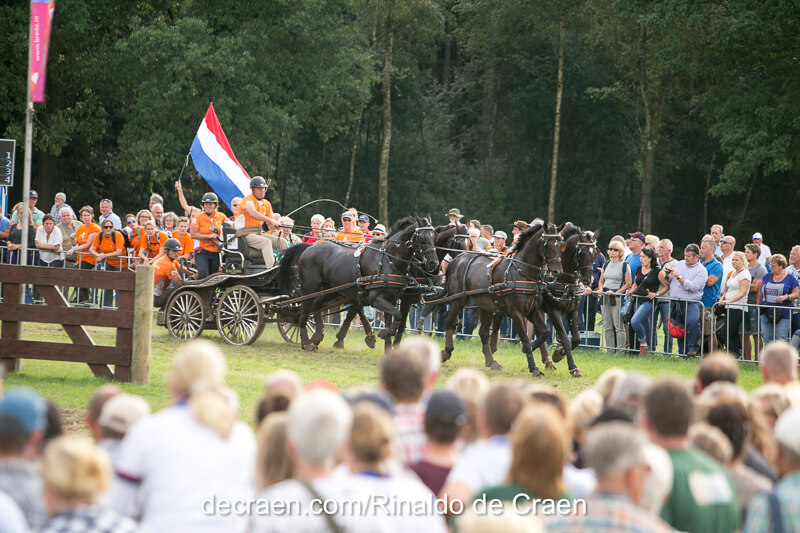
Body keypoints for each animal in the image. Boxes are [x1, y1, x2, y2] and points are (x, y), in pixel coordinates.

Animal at [276, 214, 438, 352]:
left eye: (434, 237)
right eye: (422, 237)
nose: (433, 263)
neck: (388, 260)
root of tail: (309, 247)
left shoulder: (391, 300)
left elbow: (393, 319)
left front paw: (386, 345)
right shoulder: (376, 299)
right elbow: (397, 316)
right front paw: (382, 333)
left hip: (329, 290)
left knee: (316, 307)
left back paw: (317, 336)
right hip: (310, 288)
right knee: (303, 312)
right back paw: (306, 342)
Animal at [438, 222, 564, 376]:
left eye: (561, 244)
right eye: (546, 243)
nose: (557, 271)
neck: (521, 271)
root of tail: (458, 258)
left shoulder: (533, 311)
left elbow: (545, 333)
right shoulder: (516, 313)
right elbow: (525, 340)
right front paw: (534, 368)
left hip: (484, 304)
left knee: (483, 332)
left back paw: (491, 361)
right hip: (458, 301)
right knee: (448, 320)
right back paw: (446, 352)